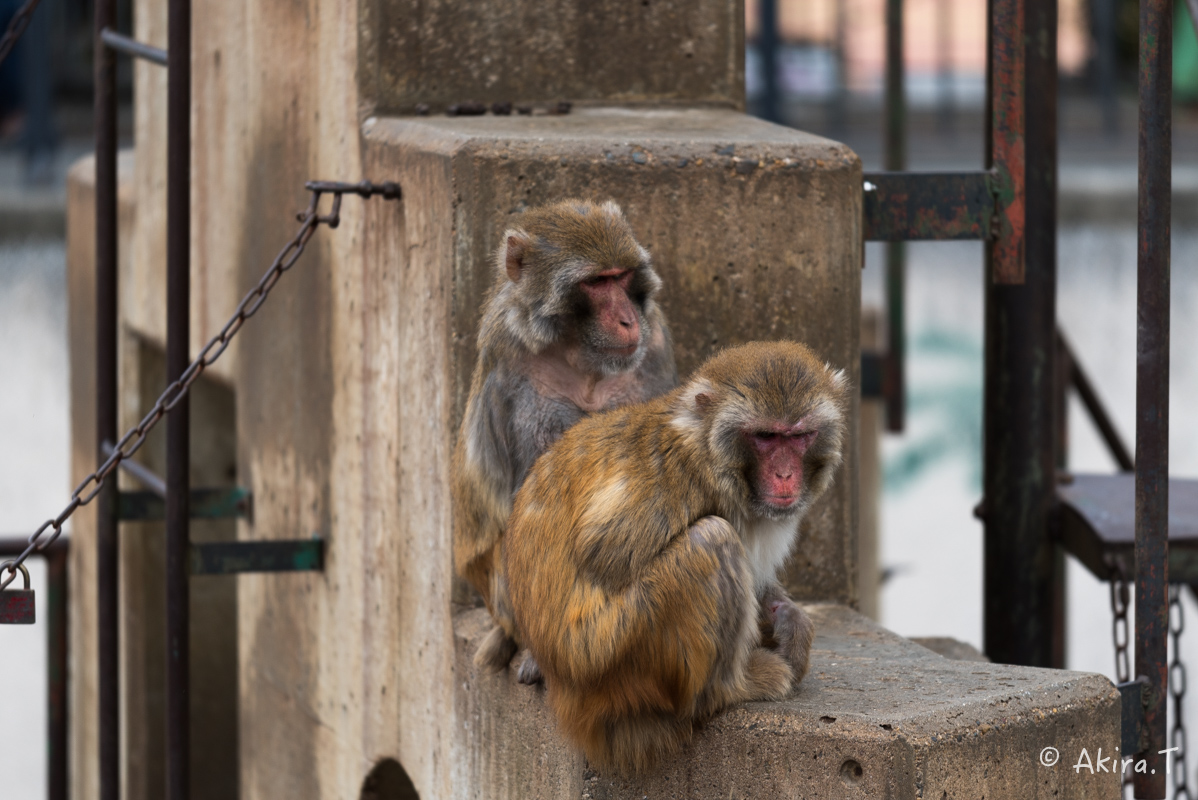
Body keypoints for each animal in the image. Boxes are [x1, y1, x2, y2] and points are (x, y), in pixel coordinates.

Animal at [450, 198, 675, 680]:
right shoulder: (510, 358)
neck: (581, 356)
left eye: (621, 277)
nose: (628, 320)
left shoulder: (656, 345)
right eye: (595, 282)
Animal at [500, 340, 848, 771]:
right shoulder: (674, 477)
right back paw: (732, 687)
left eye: (799, 436)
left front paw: (789, 621)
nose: (785, 476)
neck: (708, 448)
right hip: (616, 660)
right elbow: (602, 555)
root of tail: (568, 694)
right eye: (766, 436)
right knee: (712, 538)